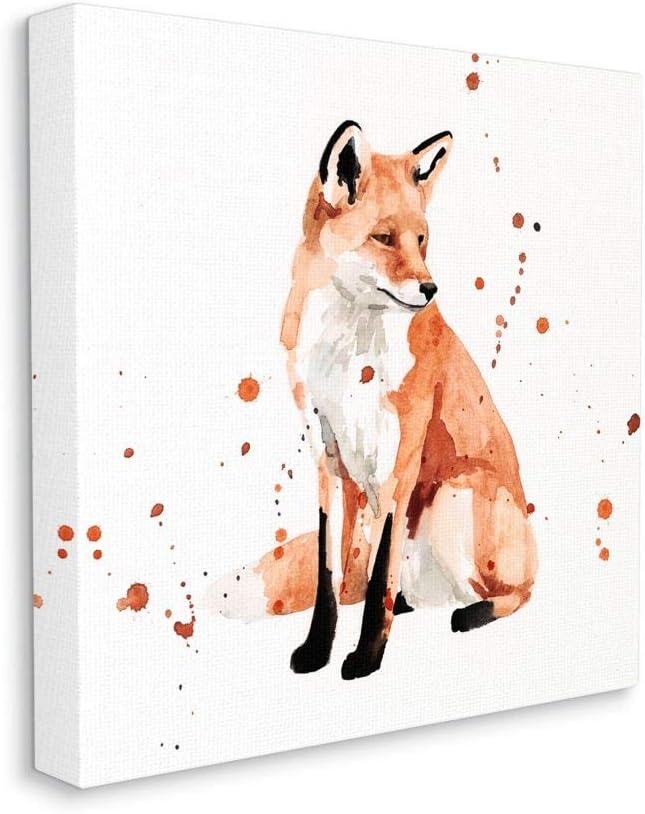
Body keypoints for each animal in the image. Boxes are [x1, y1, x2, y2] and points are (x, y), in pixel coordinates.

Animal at [204, 121, 537, 680]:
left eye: (422, 239)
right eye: (384, 238)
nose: (430, 288)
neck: (348, 356)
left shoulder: (396, 465)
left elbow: (379, 573)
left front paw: (365, 658)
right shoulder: (328, 459)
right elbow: (330, 575)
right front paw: (318, 650)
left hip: (452, 497)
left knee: (516, 592)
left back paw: (470, 613)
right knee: (385, 586)